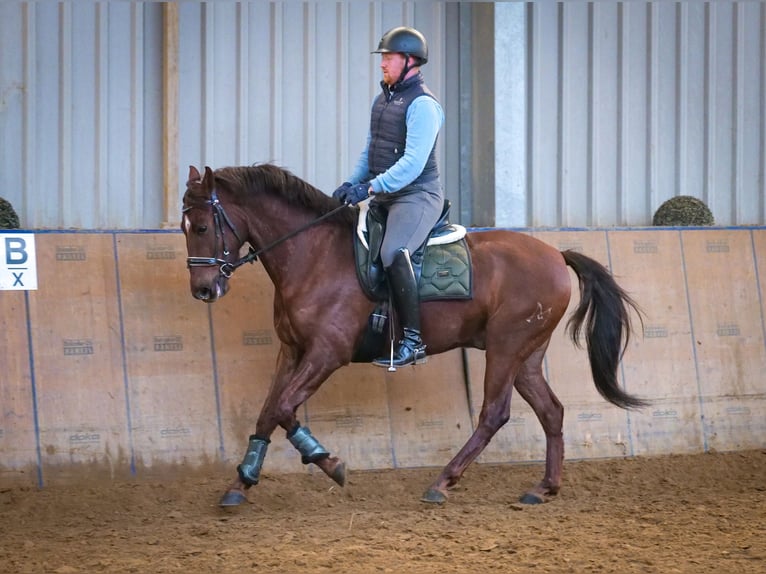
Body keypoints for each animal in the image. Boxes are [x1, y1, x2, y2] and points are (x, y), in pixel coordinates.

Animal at [182, 164, 648, 506]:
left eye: (202, 227)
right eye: (185, 227)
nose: (203, 290)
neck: (312, 255)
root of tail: (555, 253)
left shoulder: (326, 353)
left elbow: (283, 408)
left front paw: (329, 462)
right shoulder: (292, 351)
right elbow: (269, 411)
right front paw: (241, 483)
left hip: (506, 348)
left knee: (493, 414)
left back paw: (442, 482)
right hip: (526, 355)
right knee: (551, 411)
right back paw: (543, 488)